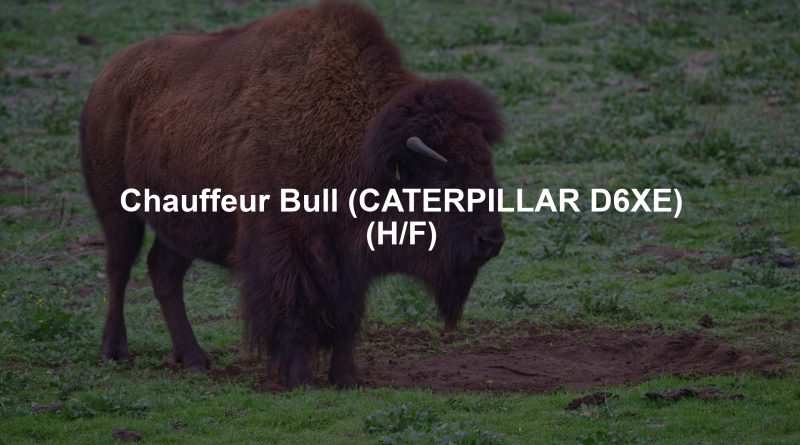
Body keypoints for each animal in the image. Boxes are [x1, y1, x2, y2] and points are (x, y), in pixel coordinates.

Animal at [80, 0, 504, 389]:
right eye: (442, 177)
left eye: (486, 166)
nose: (492, 240)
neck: (361, 148)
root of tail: (105, 78)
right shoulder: (284, 247)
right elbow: (293, 309)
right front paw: (299, 378)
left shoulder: (348, 261)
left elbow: (347, 315)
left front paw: (346, 378)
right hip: (117, 209)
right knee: (119, 268)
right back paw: (114, 351)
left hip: (180, 224)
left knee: (164, 270)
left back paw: (195, 359)